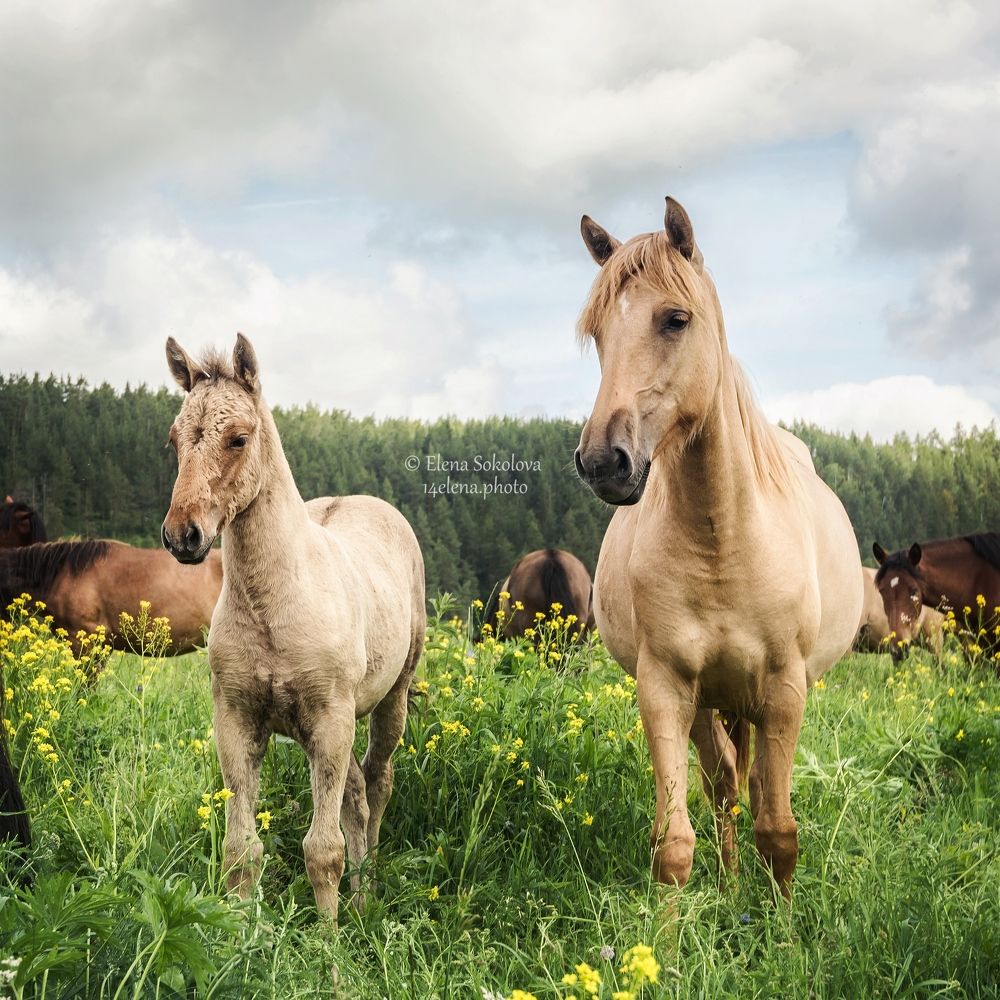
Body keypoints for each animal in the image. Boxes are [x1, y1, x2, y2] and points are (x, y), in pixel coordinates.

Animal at [161, 333, 425, 921]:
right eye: (173, 441)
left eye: (238, 439)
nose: (182, 536)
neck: (274, 607)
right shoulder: (236, 720)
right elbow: (241, 849)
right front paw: (241, 932)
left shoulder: (329, 720)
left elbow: (322, 850)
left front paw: (329, 942)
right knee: (355, 794)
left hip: (389, 698)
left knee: (377, 784)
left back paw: (369, 894)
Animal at [573, 198, 863, 896]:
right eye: (597, 333)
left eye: (675, 319)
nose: (602, 462)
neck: (722, 544)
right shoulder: (666, 689)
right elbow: (675, 841)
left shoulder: (784, 692)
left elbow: (779, 831)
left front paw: (783, 924)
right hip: (710, 703)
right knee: (725, 785)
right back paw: (731, 889)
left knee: (751, 788)